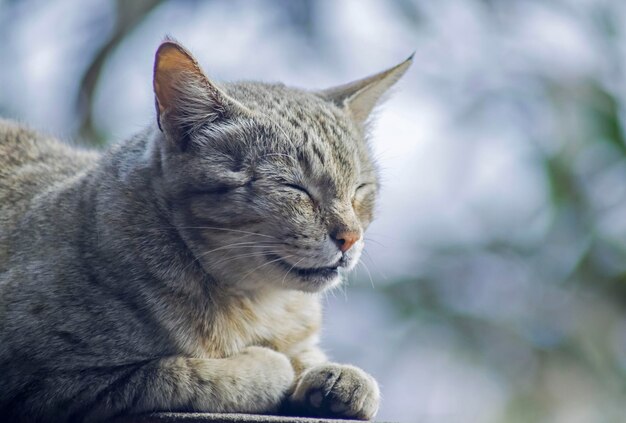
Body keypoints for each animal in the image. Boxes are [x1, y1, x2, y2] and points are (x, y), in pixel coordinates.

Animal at [0, 38, 410, 422]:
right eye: (292, 187)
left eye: (360, 189)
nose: (350, 237)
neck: (258, 304)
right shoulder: (47, 382)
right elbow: (186, 374)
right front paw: (271, 366)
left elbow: (307, 355)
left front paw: (333, 375)